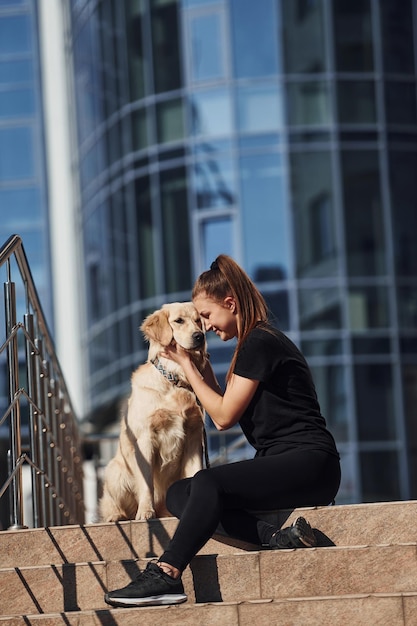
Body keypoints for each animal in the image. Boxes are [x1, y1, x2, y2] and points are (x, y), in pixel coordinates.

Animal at [98, 300, 208, 520]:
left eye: (198, 320)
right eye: (178, 321)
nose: (199, 336)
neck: (174, 380)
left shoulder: (194, 435)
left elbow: (195, 471)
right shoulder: (146, 438)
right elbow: (147, 482)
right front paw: (146, 511)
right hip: (114, 471)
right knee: (112, 504)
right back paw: (116, 515)